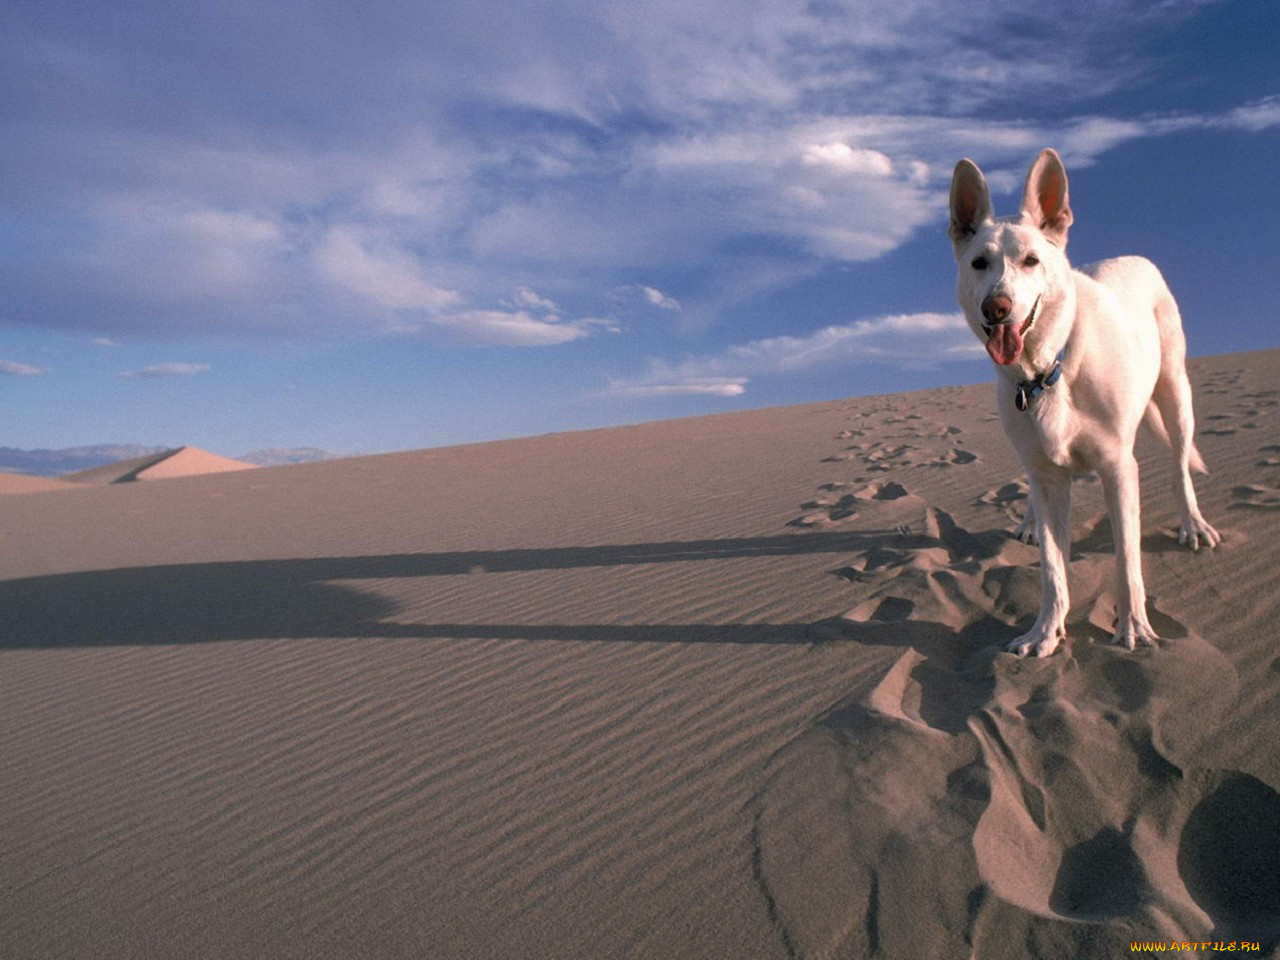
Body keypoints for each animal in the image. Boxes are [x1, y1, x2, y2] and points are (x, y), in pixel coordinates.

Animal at [952, 152, 1218, 660]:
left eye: (1031, 261)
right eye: (979, 263)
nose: (997, 308)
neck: (1047, 369)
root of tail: (1133, 257)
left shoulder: (1118, 467)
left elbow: (1127, 560)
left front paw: (1133, 627)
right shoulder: (1049, 477)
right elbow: (1053, 570)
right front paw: (1044, 631)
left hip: (1175, 392)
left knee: (1179, 465)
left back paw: (1193, 523)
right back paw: (1029, 523)